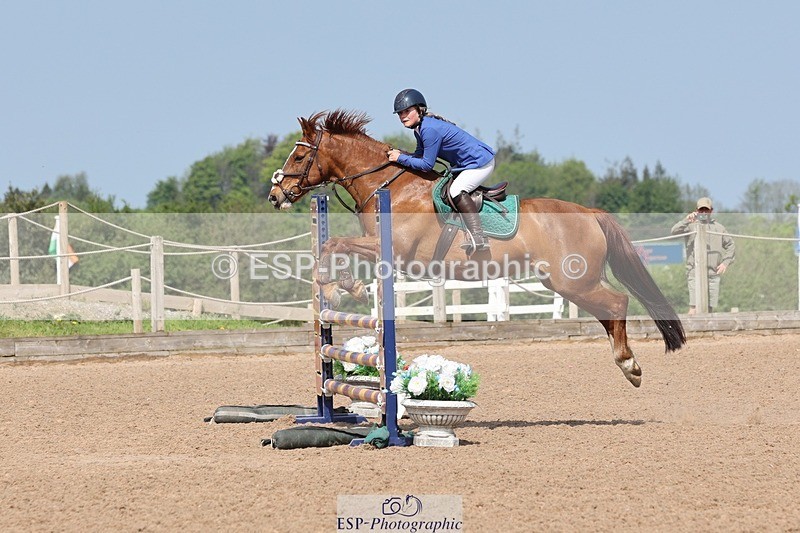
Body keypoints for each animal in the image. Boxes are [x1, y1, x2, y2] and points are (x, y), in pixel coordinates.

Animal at [268, 109, 686, 387]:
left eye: (300, 156)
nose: (276, 195)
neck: (390, 186)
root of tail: (591, 213)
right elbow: (333, 244)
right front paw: (341, 287)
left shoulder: (395, 250)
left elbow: (334, 243)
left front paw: (343, 288)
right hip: (567, 282)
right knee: (608, 310)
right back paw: (628, 365)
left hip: (572, 281)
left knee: (618, 303)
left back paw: (628, 364)